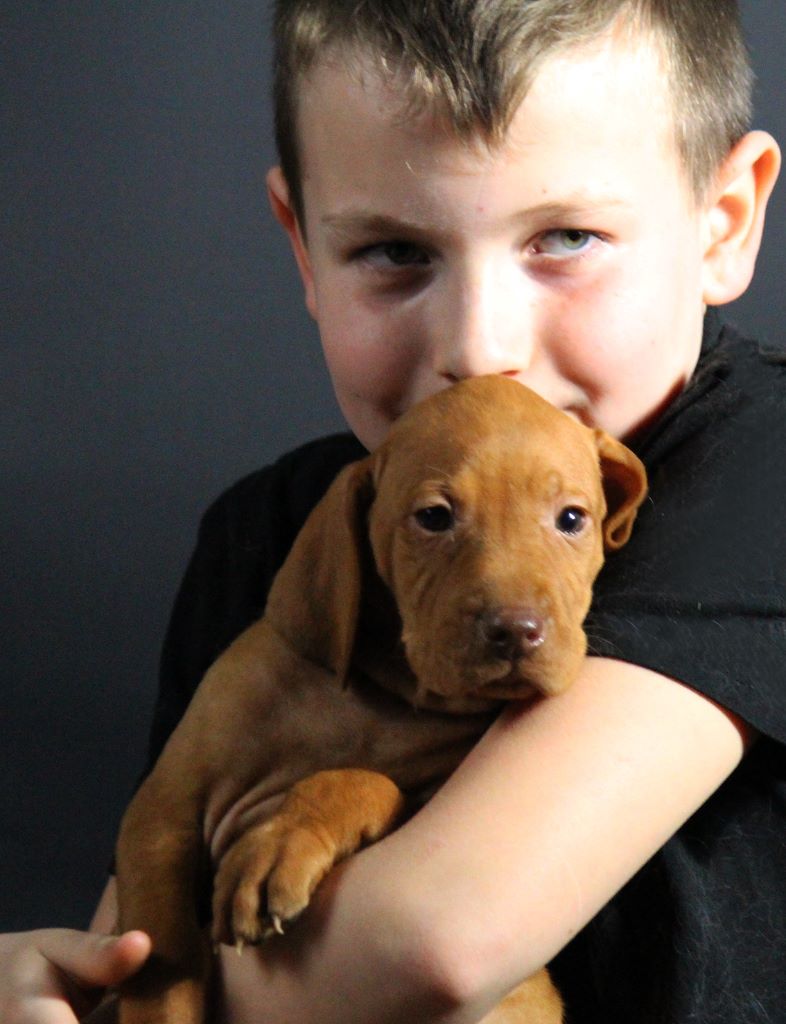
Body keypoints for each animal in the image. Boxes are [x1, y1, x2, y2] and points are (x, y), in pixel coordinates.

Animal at [115, 375, 647, 1024]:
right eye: (434, 518)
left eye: (572, 519)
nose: (517, 630)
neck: (382, 694)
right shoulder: (163, 811)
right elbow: (162, 965)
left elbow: (368, 781)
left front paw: (282, 840)